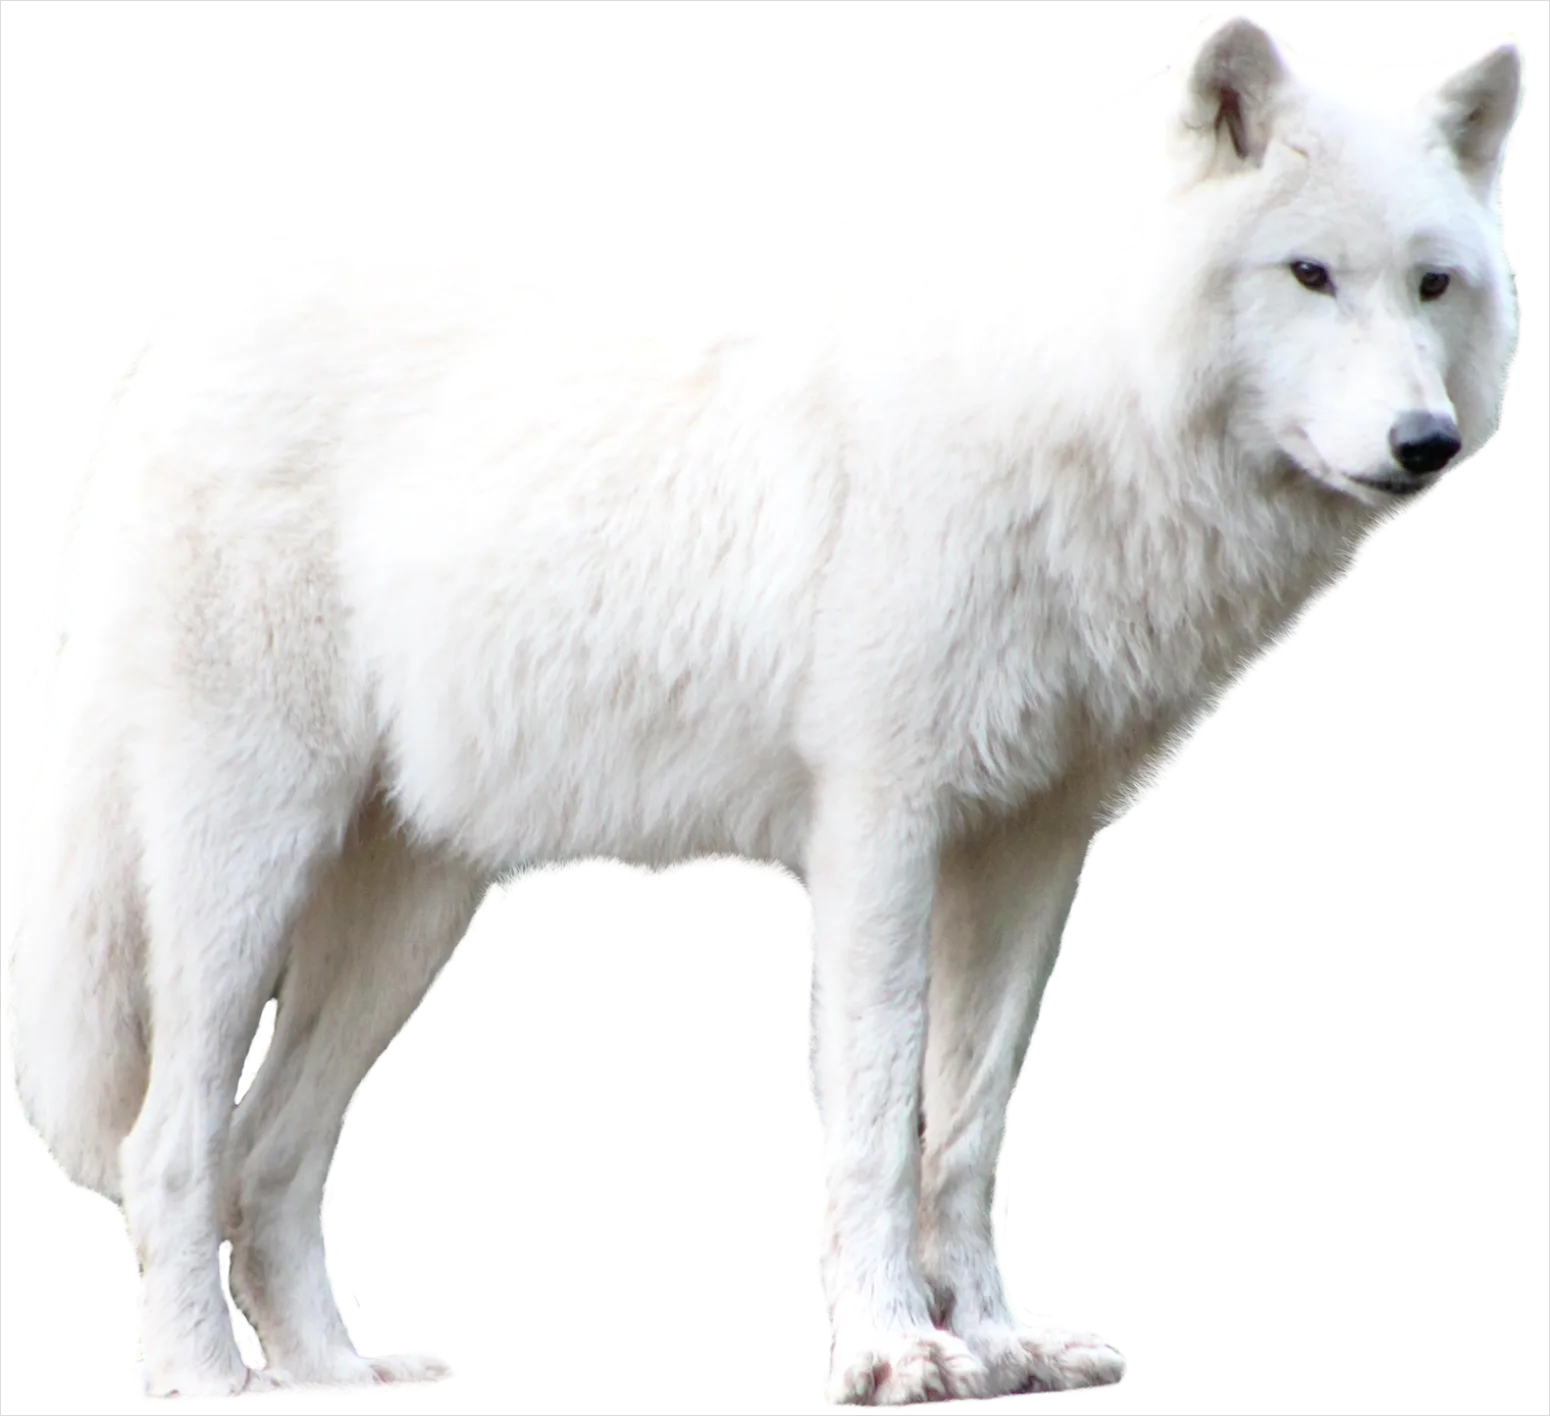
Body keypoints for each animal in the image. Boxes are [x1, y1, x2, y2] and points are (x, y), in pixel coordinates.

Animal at [7, 10, 1523, 1407]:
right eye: (1308, 274)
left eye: (1431, 284)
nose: (1422, 443)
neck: (1071, 402)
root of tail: (175, 334)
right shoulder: (878, 831)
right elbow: (874, 1115)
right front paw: (892, 1352)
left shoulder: (1033, 852)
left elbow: (966, 1128)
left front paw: (995, 1344)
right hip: (247, 863)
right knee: (169, 1140)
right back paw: (200, 1379)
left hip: (413, 910)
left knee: (268, 1152)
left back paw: (336, 1370)